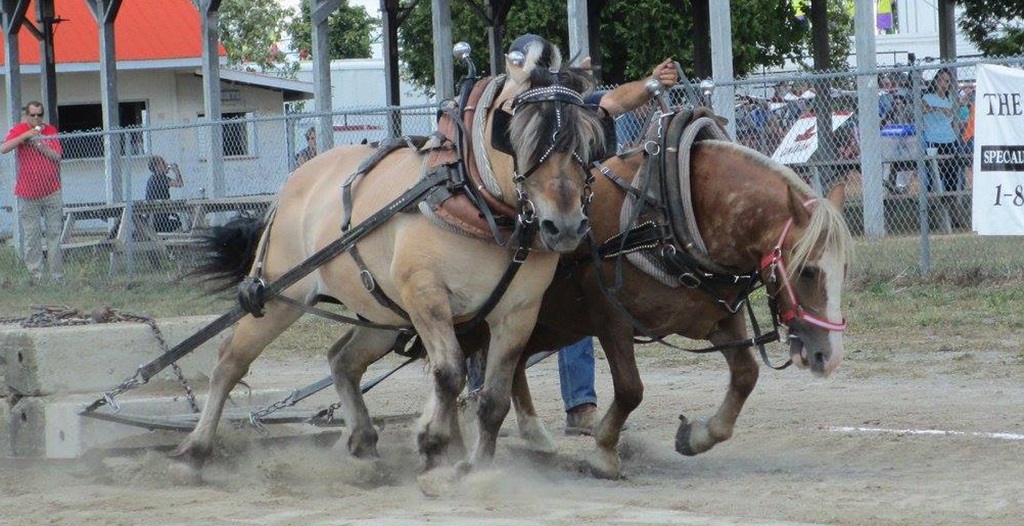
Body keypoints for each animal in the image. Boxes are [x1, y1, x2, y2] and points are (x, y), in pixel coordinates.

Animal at [173, 38, 607, 477]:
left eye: (588, 138)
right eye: (518, 132)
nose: (565, 226)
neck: (471, 193)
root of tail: (293, 182)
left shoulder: (518, 312)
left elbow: (494, 401)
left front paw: (477, 468)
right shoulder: (425, 295)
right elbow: (448, 372)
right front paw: (432, 442)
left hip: (381, 314)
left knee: (343, 361)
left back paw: (363, 440)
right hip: (281, 295)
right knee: (230, 361)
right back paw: (196, 448)